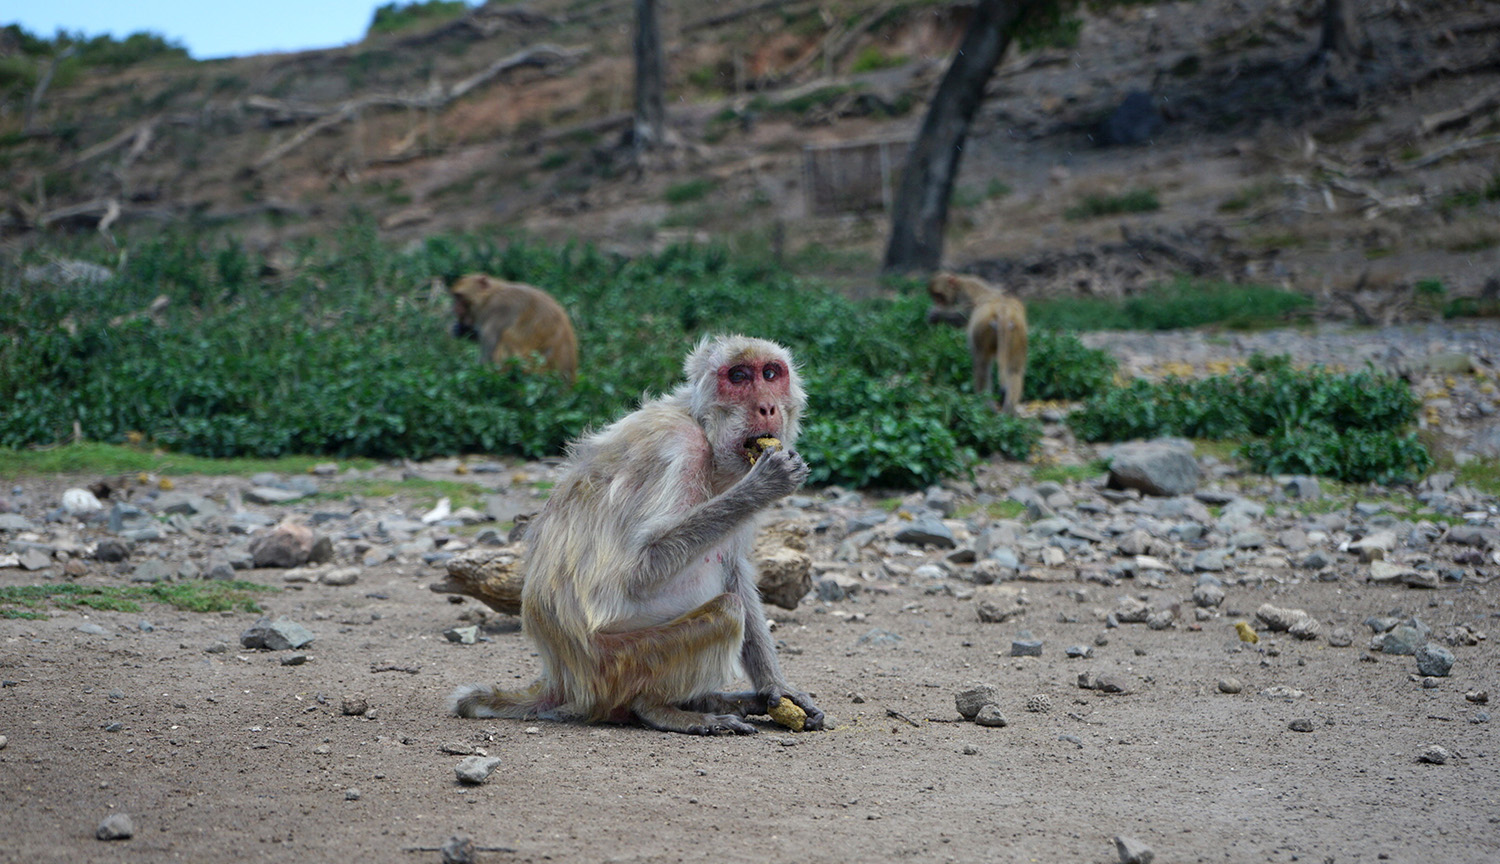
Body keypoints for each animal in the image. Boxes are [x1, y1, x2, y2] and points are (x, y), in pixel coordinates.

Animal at [447, 274, 576, 382]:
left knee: (506, 337)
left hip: (531, 369)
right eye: (455, 297)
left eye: (459, 297)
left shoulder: (498, 311)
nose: (453, 308)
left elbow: (487, 362)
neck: (489, 297)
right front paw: (461, 330)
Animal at [450, 334, 828, 732]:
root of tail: (562, 680)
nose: (767, 407)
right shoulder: (679, 449)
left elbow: (733, 566)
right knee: (725, 611)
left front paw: (778, 689)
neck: (707, 436)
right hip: (619, 665)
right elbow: (634, 573)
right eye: (738, 376)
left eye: (770, 374)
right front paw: (764, 485)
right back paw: (660, 708)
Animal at [924, 271, 1032, 417]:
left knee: (982, 366)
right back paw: (1009, 411)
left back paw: (985, 406)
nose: (937, 303)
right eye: (935, 297)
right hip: (1018, 332)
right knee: (1014, 370)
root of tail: (1002, 310)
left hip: (983, 329)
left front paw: (936, 315)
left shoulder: (964, 293)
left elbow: (966, 313)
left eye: (939, 297)